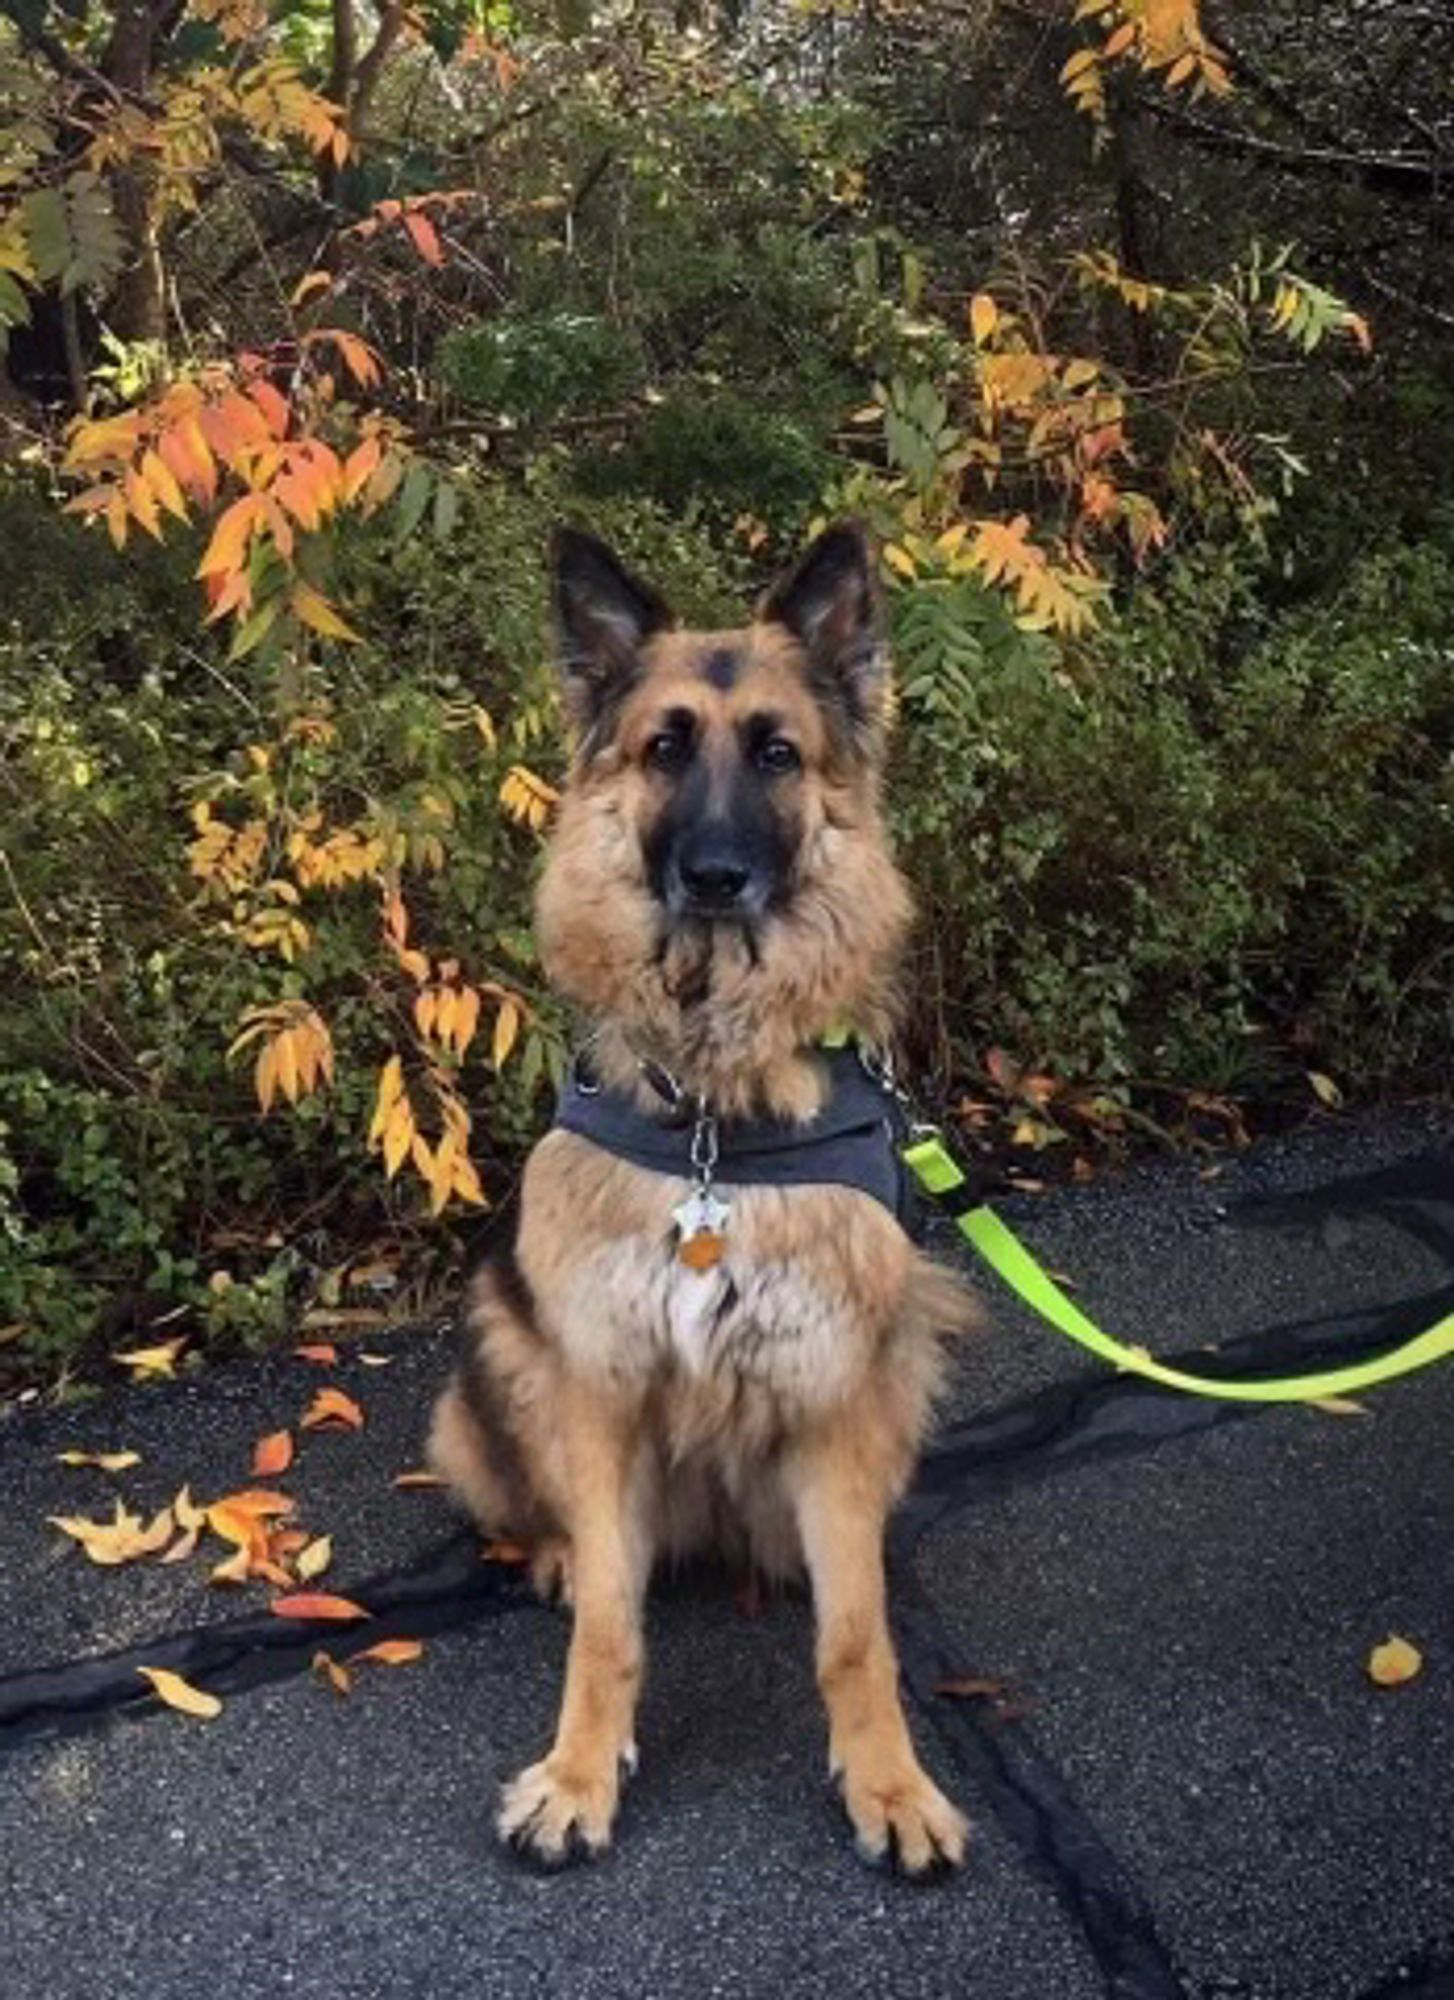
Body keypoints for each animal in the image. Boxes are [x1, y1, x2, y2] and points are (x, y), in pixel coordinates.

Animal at [432, 524, 980, 1864]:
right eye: (665, 748)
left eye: (776, 753)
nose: (717, 875)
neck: (713, 1128)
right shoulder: (601, 1380)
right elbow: (610, 1626)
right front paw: (578, 1775)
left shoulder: (835, 1388)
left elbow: (855, 1635)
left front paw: (888, 1781)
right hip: (501, 1343)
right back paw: (557, 1552)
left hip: (905, 1347)